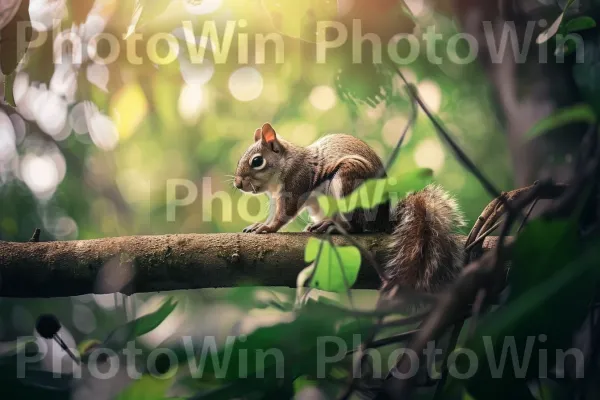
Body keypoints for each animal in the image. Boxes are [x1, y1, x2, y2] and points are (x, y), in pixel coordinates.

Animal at [232, 122, 466, 290]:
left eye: (257, 161)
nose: (237, 184)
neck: (285, 164)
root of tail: (383, 220)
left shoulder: (296, 182)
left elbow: (284, 213)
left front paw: (267, 227)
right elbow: (275, 213)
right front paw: (258, 225)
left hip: (348, 180)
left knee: (356, 226)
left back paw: (333, 226)